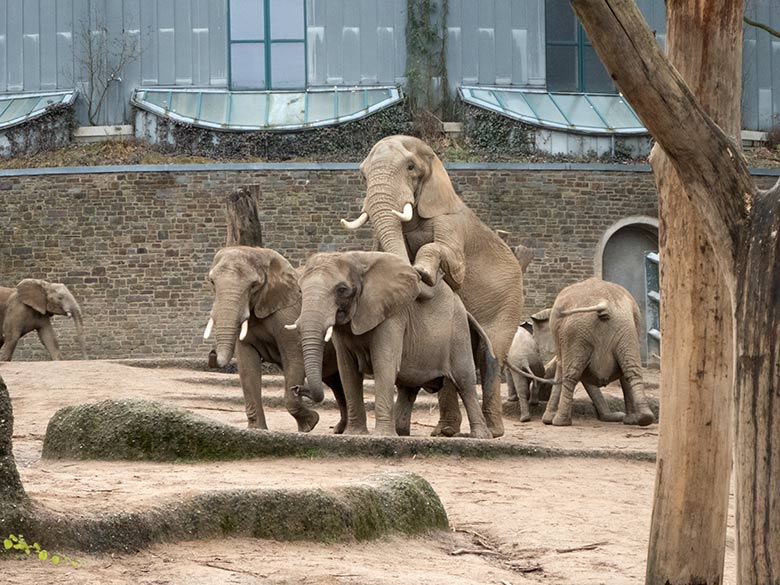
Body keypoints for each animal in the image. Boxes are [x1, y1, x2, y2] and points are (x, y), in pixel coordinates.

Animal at [204, 244, 344, 432]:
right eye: (212, 282)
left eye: (254, 285)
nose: (211, 353)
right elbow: (247, 365)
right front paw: (257, 430)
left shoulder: (288, 314)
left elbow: (294, 357)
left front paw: (309, 425)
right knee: (337, 382)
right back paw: (340, 430)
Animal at [292, 251, 494, 438]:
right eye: (300, 291)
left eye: (341, 289)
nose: (296, 389)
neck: (356, 259)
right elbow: (347, 370)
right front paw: (355, 434)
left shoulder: (392, 315)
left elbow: (384, 363)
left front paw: (381, 436)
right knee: (408, 386)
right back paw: (401, 432)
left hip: (458, 331)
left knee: (464, 380)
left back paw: (480, 436)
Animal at [342, 135, 520, 436]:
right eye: (362, 175)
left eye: (411, 167)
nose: (422, 277)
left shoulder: (450, 223)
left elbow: (454, 267)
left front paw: (425, 271)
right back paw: (445, 431)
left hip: (509, 303)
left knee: (490, 356)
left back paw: (492, 432)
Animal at [540, 276, 656, 426]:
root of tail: (603, 303)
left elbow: (561, 365)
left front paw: (547, 419)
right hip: (625, 327)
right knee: (631, 369)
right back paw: (643, 419)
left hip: (576, 330)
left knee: (571, 374)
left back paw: (560, 422)